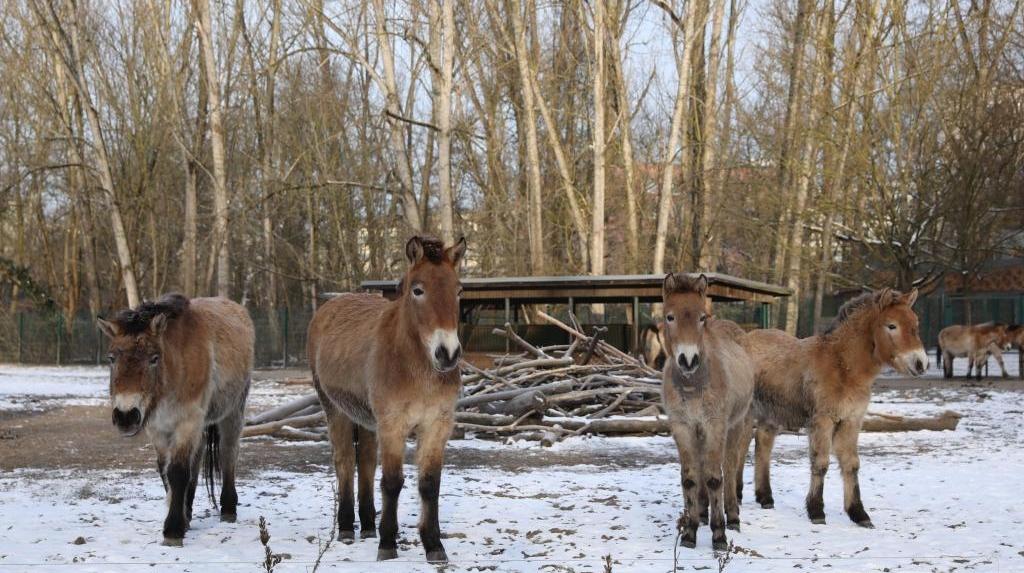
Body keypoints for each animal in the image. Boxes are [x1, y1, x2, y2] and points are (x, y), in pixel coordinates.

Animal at [98, 293, 254, 546]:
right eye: (112, 358)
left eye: (153, 358)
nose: (125, 416)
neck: (175, 366)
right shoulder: (158, 428)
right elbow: (166, 471)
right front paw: (181, 518)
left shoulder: (187, 422)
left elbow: (178, 471)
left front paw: (173, 530)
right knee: (197, 460)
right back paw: (188, 510)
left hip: (232, 411)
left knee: (228, 452)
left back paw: (228, 508)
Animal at [307, 236, 466, 562]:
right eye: (418, 290)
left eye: (458, 291)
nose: (447, 354)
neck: (416, 366)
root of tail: (330, 305)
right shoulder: (393, 424)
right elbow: (392, 482)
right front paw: (388, 545)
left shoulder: (437, 425)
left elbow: (429, 484)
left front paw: (434, 545)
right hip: (335, 409)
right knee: (345, 461)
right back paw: (347, 527)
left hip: (367, 420)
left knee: (366, 462)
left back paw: (368, 524)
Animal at [660, 273, 754, 550]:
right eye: (670, 316)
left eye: (702, 317)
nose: (688, 360)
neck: (693, 385)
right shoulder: (682, 426)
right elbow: (691, 478)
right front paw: (690, 532)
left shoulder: (715, 425)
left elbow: (715, 477)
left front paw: (719, 535)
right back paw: (702, 513)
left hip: (737, 424)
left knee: (730, 466)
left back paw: (732, 516)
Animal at [740, 288, 927, 527]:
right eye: (891, 325)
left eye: (916, 324)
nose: (921, 363)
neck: (841, 366)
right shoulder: (823, 420)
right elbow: (820, 463)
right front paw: (816, 511)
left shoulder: (851, 420)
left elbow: (851, 464)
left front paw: (858, 513)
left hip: (770, 415)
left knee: (762, 444)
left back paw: (765, 497)